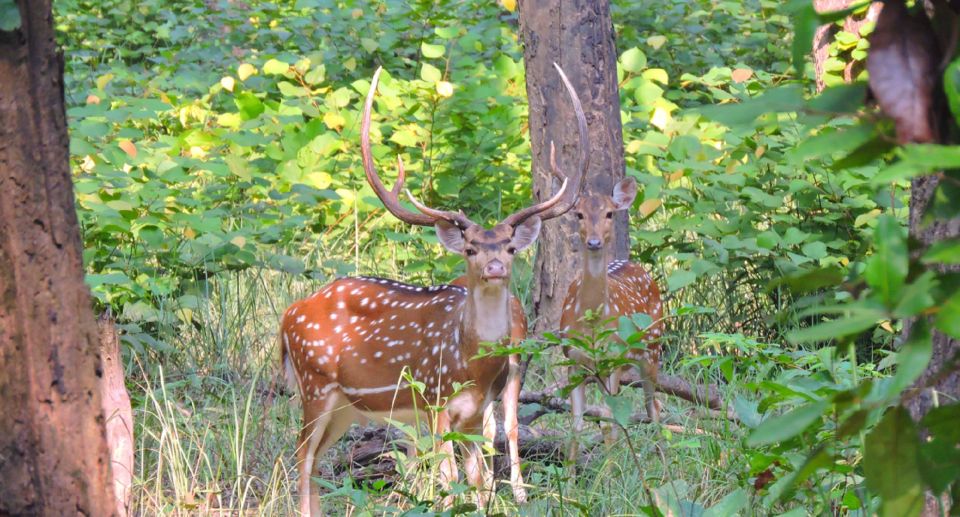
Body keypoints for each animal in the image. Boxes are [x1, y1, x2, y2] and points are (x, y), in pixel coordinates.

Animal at [282, 63, 588, 512]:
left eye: (511, 246)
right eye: (471, 248)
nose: (495, 266)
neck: (471, 363)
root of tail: (288, 316)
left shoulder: (474, 412)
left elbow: (476, 481)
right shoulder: (435, 398)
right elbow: (449, 480)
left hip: (346, 405)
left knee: (316, 460)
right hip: (315, 382)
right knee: (301, 457)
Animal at [560, 176, 664, 460]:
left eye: (609, 213)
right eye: (579, 214)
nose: (594, 242)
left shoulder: (614, 359)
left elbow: (611, 422)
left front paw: (608, 470)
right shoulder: (573, 360)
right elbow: (576, 425)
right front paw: (570, 472)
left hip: (652, 349)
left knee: (653, 407)